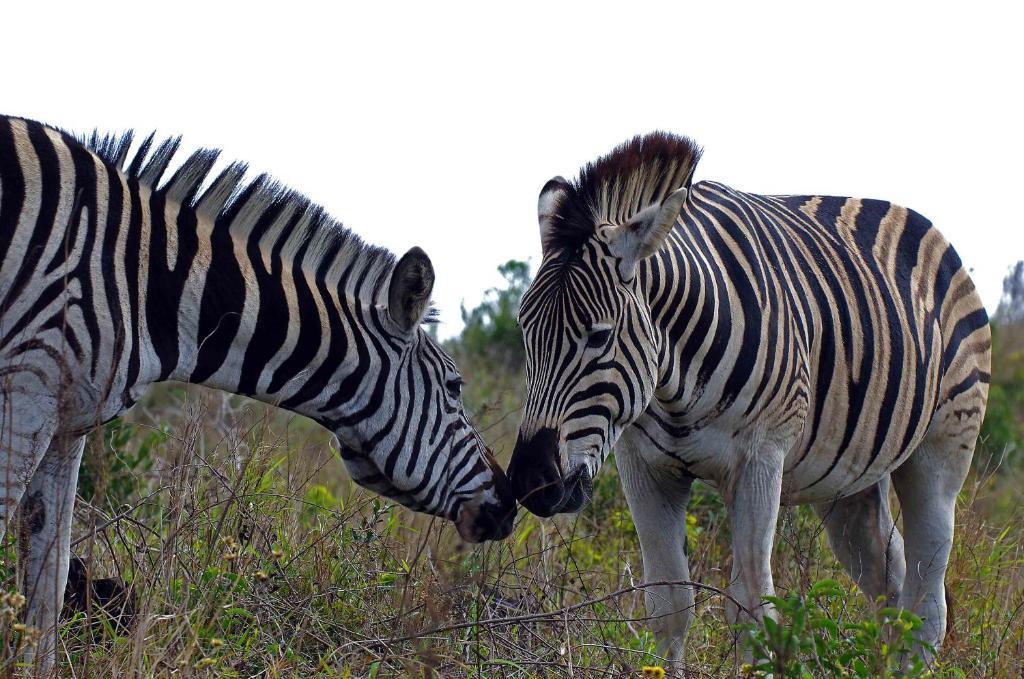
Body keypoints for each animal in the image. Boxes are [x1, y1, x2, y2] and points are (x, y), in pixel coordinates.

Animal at [0, 114, 512, 671]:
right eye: (455, 387)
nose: (510, 504)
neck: (145, 281)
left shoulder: (68, 420)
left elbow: (46, 584)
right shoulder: (25, 388)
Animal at [509, 134, 991, 667]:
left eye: (599, 337)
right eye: (524, 332)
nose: (531, 484)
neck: (674, 380)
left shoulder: (760, 461)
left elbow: (752, 610)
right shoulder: (643, 467)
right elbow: (668, 605)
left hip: (942, 450)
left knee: (927, 603)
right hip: (849, 481)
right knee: (891, 584)